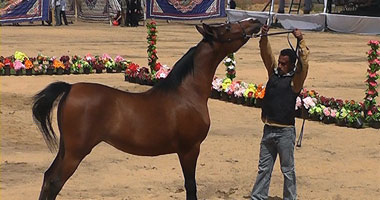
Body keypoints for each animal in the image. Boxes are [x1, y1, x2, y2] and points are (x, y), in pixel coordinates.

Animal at [33, 18, 262, 199]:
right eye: (227, 27)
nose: (254, 21)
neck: (186, 92)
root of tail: (70, 88)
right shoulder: (190, 149)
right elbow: (191, 187)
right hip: (75, 153)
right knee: (55, 182)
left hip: (66, 149)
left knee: (47, 177)